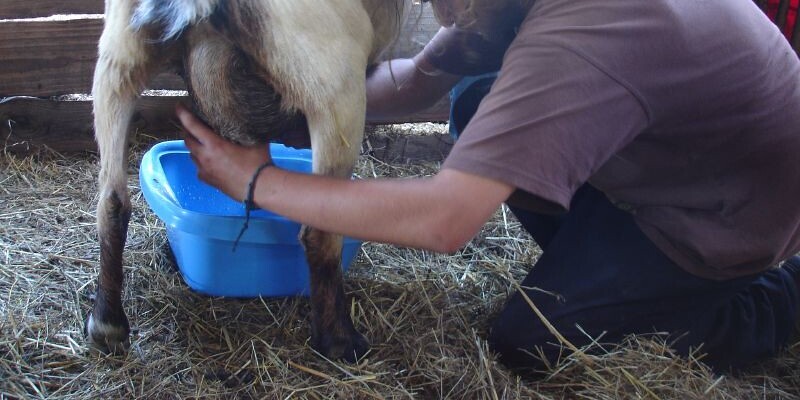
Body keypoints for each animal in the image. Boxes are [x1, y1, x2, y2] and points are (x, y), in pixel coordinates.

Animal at [88, 0, 412, 360]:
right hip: (335, 84)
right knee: (321, 232)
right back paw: (340, 340)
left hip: (117, 61)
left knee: (112, 201)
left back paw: (107, 325)